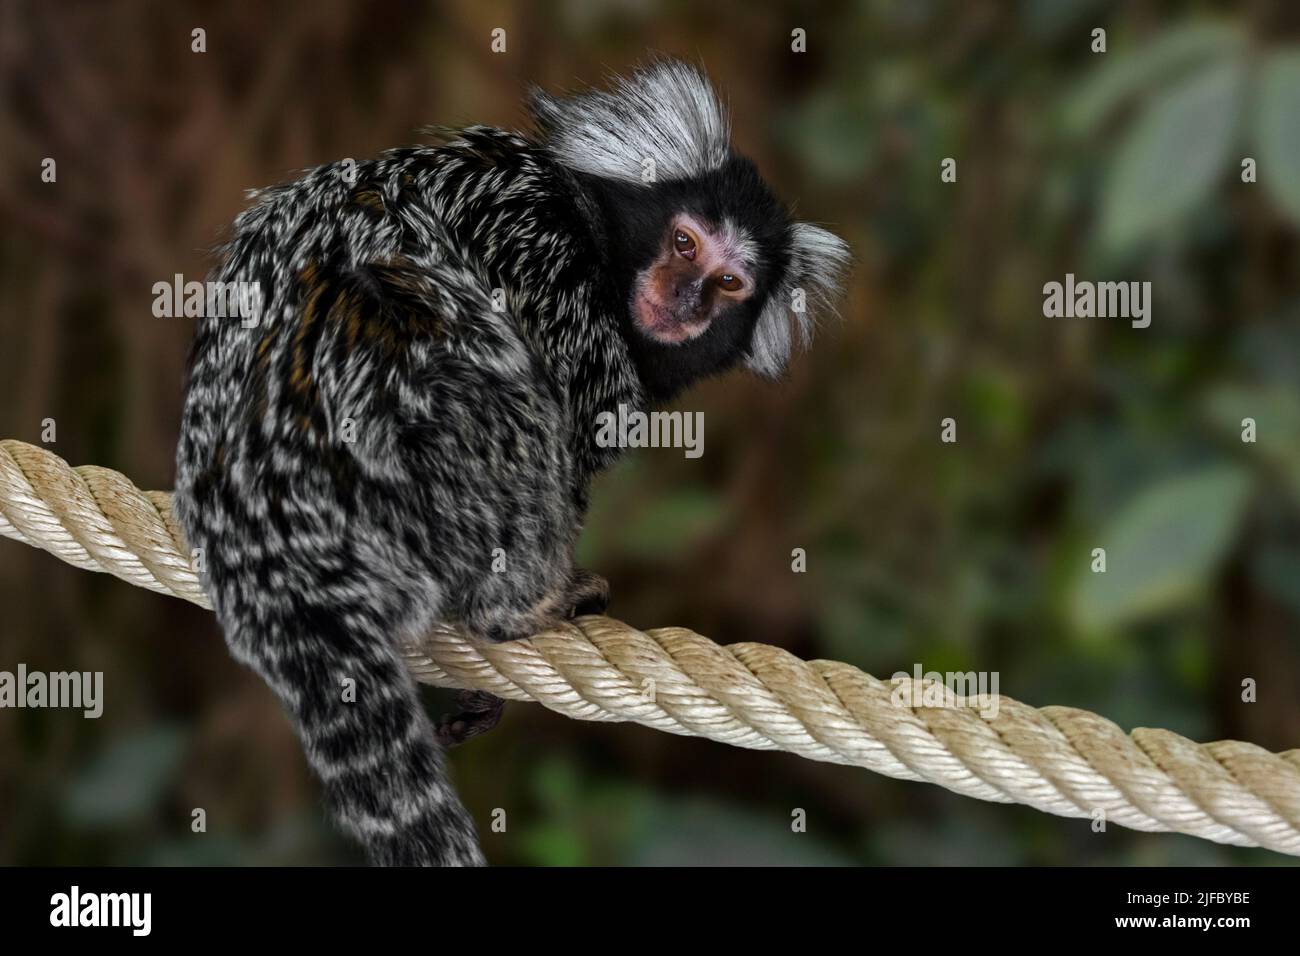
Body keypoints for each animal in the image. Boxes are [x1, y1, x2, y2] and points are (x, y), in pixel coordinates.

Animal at [173, 58, 849, 867]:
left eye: (728, 284)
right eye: (685, 244)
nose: (682, 298)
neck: (597, 245)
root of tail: (273, 552)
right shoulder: (551, 274)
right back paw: (521, 607)